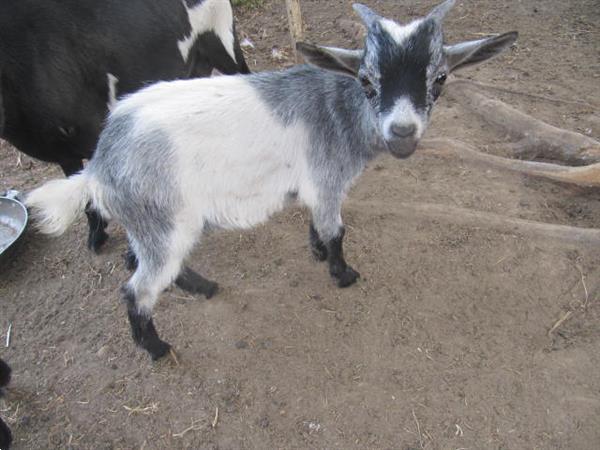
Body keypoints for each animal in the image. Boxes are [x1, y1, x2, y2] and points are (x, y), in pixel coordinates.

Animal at [25, 0, 516, 358]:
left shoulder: (314, 183)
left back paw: (201, 287)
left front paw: (318, 254)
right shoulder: (327, 178)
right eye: (366, 80)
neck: (338, 109)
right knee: (136, 289)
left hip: (153, 222)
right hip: (161, 220)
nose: (402, 131)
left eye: (440, 77)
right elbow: (337, 230)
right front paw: (342, 273)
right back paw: (157, 347)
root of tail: (99, 163)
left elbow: (316, 223)